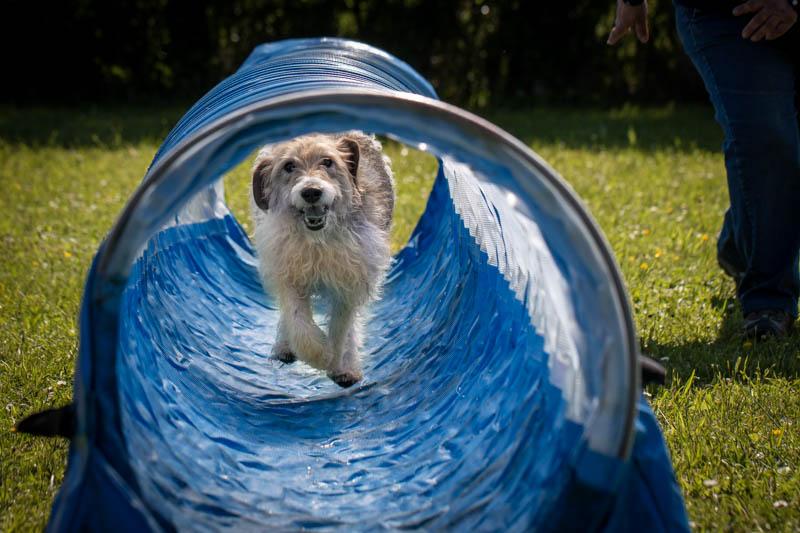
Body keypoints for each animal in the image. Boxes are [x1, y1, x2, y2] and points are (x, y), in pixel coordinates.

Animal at [252, 132, 396, 386]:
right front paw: (319, 355)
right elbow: (297, 321)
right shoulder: (288, 272)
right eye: (289, 166)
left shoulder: (351, 281)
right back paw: (284, 345)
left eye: (328, 162)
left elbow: (342, 328)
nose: (311, 192)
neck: (319, 240)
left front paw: (339, 361)